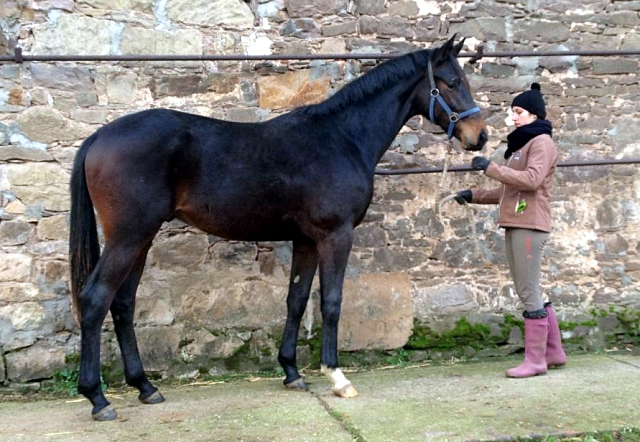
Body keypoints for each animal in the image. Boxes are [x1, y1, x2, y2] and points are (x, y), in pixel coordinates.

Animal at [70, 36, 488, 420]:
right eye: (452, 81)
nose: (479, 136)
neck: (342, 138)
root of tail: (98, 136)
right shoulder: (336, 236)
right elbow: (331, 302)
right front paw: (336, 376)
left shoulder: (305, 240)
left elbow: (297, 300)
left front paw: (291, 371)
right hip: (129, 237)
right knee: (95, 299)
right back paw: (98, 399)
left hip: (140, 238)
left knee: (123, 303)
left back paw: (145, 386)